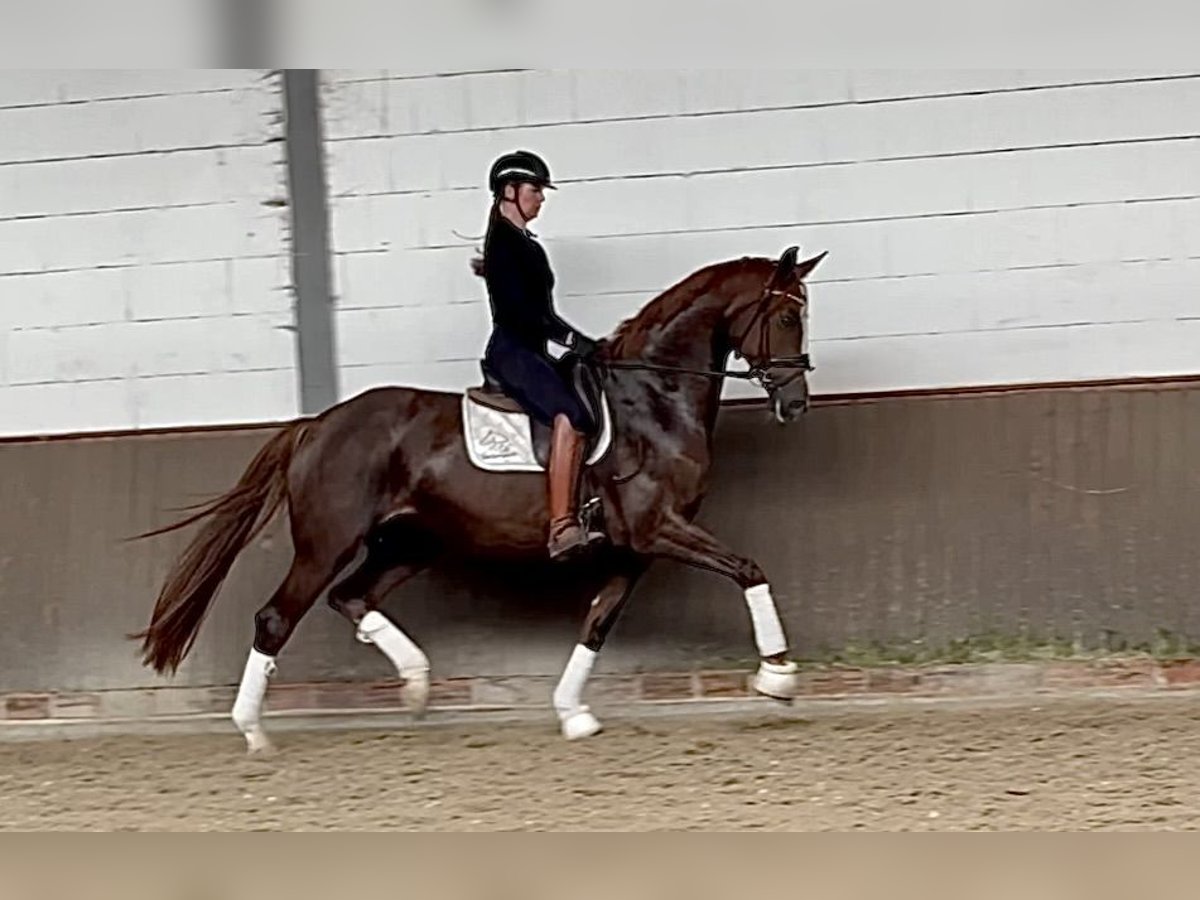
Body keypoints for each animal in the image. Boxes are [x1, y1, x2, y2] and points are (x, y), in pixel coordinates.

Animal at [131, 244, 827, 753]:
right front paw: (778, 677)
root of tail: (318, 424)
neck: (654, 399)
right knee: (278, 617)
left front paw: (572, 714)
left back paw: (416, 686)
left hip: (412, 542)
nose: (795, 404)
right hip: (327, 542)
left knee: (350, 597)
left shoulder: (635, 547)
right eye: (787, 316)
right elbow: (749, 569)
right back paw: (254, 732)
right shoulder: (657, 528)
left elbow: (597, 623)